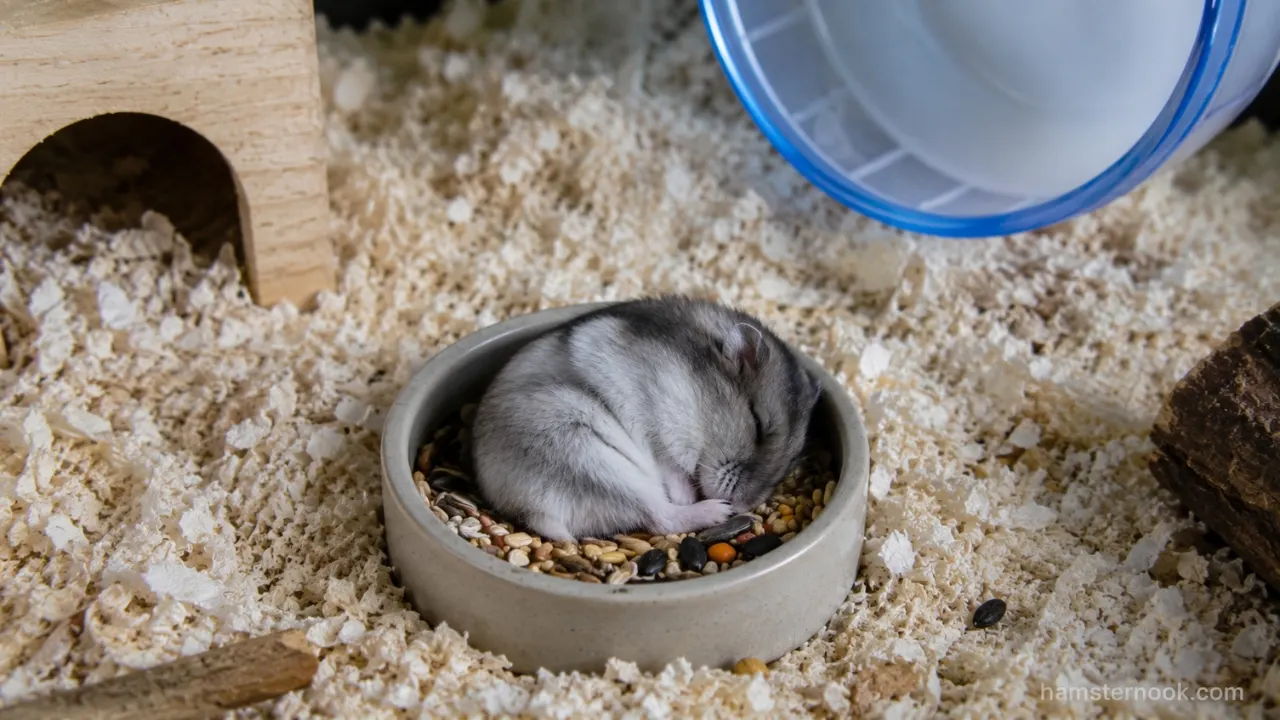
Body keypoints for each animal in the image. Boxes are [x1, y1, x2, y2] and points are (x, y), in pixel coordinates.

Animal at [470, 295, 823, 541]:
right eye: (758, 425)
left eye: (792, 460)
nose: (742, 507)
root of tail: (527, 510)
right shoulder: (643, 412)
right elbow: (667, 462)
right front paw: (689, 492)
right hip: (588, 454)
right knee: (659, 517)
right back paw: (715, 512)